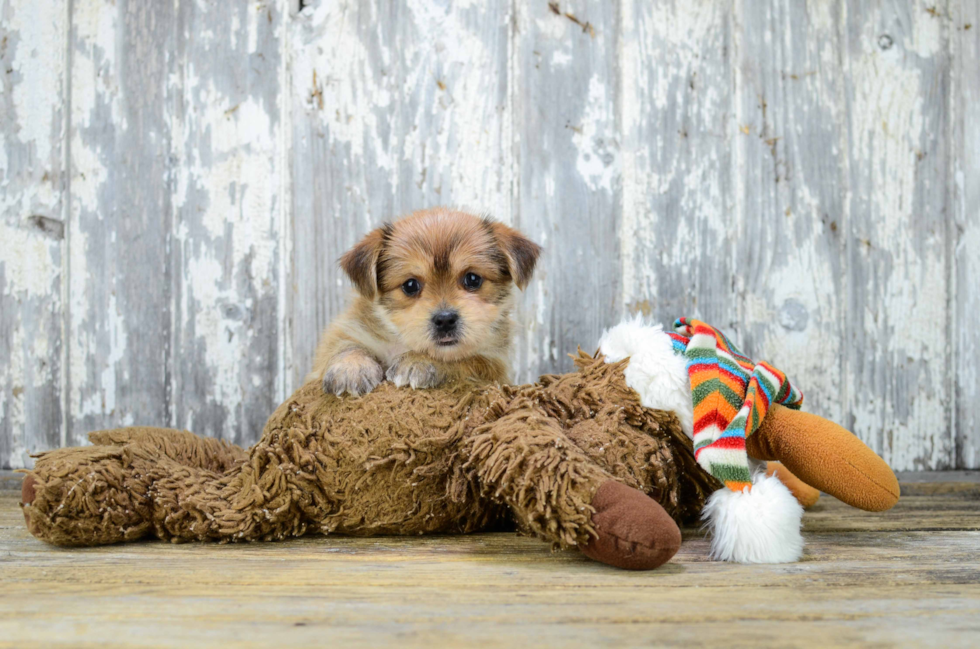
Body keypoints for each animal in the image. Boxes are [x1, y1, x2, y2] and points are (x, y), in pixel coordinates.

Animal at [310, 210, 540, 398]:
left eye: (473, 279)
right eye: (410, 285)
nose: (445, 320)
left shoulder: (495, 364)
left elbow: (465, 360)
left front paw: (420, 361)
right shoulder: (349, 330)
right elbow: (345, 345)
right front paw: (350, 368)